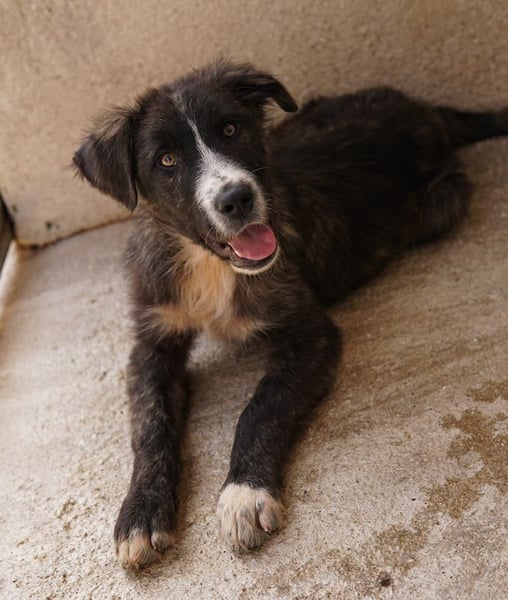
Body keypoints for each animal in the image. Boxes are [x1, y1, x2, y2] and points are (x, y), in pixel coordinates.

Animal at [73, 60, 508, 569]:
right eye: (165, 160)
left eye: (230, 128)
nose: (236, 198)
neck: (210, 264)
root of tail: (425, 109)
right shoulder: (152, 342)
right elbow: (150, 426)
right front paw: (141, 511)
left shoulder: (310, 331)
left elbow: (262, 407)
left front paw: (245, 493)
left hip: (442, 204)